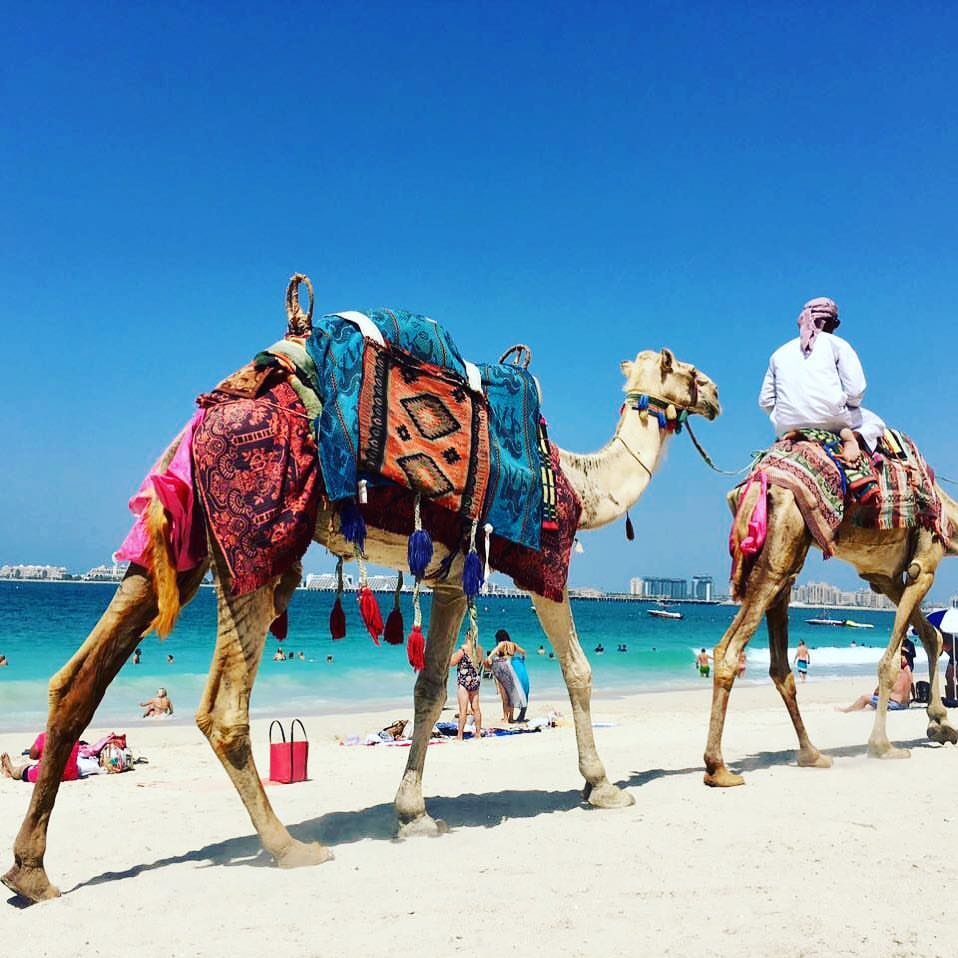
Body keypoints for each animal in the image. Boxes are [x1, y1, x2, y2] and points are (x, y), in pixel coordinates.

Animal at [4, 341, 720, 902]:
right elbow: (578, 671)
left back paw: (31, 873)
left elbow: (430, 689)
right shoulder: (545, 562)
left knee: (77, 681)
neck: (579, 482)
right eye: (683, 367)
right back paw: (290, 848)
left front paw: (413, 816)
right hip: (261, 539)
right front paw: (603, 788)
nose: (714, 394)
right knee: (223, 710)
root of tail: (205, 414)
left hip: (181, 547)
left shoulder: (451, 577)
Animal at [704, 480, 958, 789]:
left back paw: (812, 755)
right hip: (781, 547)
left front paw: (941, 725)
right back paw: (718, 769)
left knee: (779, 667)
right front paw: (882, 746)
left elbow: (932, 635)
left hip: (787, 558)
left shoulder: (884, 578)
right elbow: (891, 663)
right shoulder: (923, 564)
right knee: (729, 649)